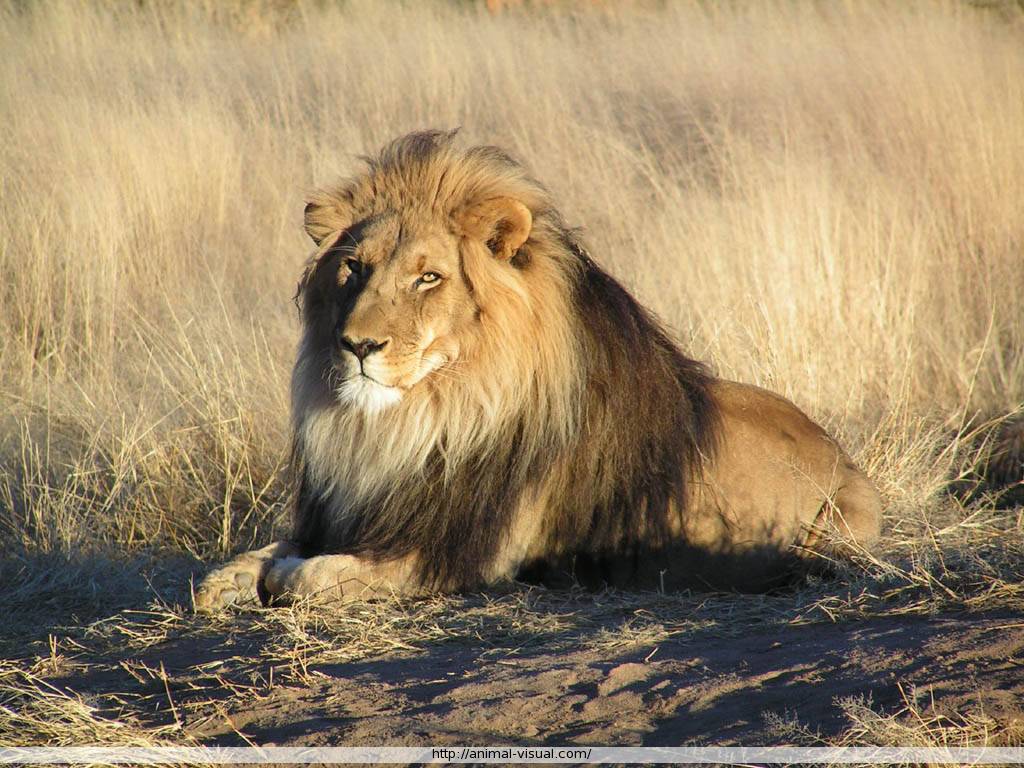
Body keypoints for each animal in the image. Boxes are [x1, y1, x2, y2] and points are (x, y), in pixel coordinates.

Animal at [194, 130, 881, 611]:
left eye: (428, 277)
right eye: (354, 268)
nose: (357, 345)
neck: (417, 421)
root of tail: (843, 455)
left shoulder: (461, 554)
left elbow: (309, 576)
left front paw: (284, 576)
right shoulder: (352, 514)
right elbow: (253, 559)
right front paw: (229, 579)